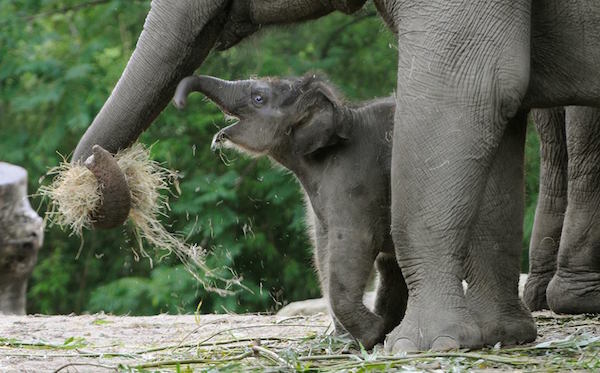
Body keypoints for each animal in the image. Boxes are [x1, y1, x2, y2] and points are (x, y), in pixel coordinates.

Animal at [173, 73, 408, 348]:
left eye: (258, 98)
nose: (179, 103)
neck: (345, 115)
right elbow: (323, 249)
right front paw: (348, 341)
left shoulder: (355, 182)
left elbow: (353, 244)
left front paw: (371, 335)